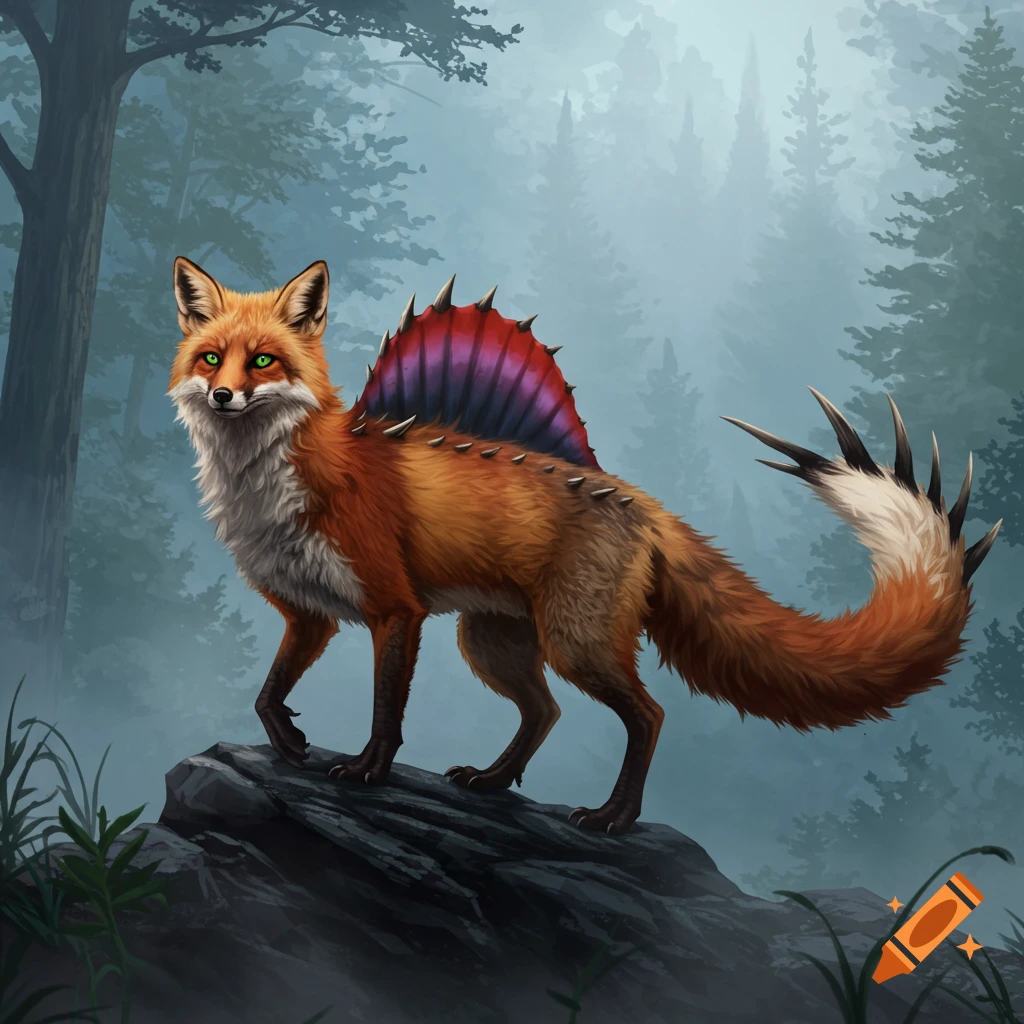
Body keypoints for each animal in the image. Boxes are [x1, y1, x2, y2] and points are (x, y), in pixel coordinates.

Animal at [168, 256, 1002, 835]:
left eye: (265, 361)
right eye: (211, 358)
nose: (225, 395)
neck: (275, 489)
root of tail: (641, 501)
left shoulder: (394, 611)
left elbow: (386, 714)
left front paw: (367, 771)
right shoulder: (308, 614)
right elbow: (268, 690)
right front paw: (288, 742)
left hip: (575, 641)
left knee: (648, 715)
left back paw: (613, 818)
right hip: (492, 639)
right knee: (545, 712)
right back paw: (495, 781)